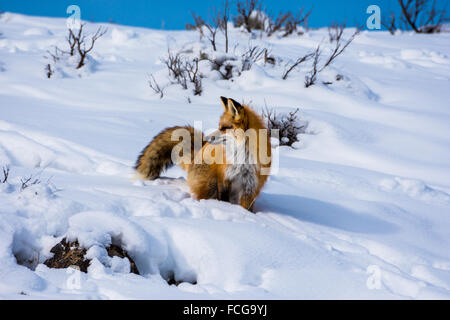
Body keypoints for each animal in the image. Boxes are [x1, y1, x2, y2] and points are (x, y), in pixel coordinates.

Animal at [134, 97, 270, 212]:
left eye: (224, 128)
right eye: (219, 126)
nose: (207, 139)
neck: (242, 157)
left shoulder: (251, 185)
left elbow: (246, 208)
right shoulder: (224, 178)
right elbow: (224, 199)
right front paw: (225, 208)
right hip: (210, 184)